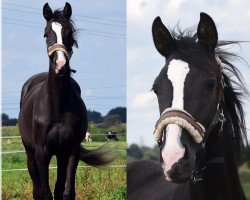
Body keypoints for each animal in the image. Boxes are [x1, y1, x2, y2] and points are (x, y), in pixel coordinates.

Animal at [18, 3, 114, 200]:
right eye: (46, 34)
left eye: (70, 32)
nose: (60, 65)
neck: (57, 108)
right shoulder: (42, 153)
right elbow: (45, 193)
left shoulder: (71, 151)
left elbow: (67, 192)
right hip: (30, 154)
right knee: (37, 189)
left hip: (60, 155)